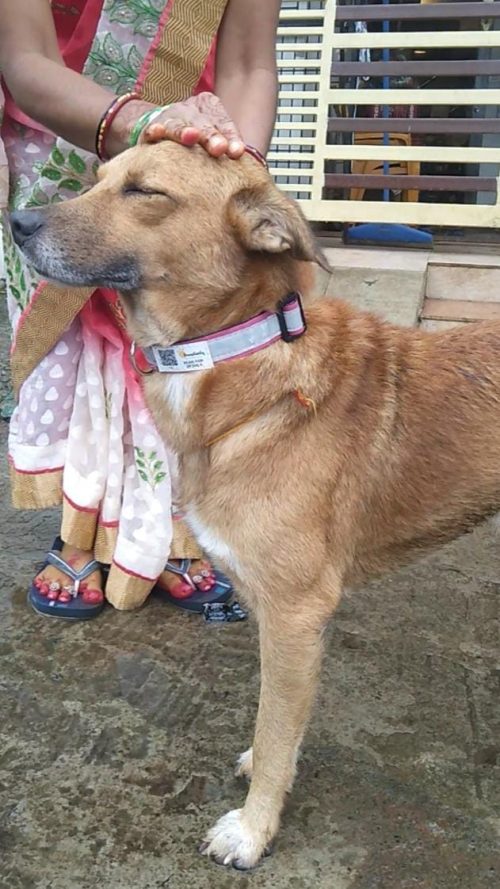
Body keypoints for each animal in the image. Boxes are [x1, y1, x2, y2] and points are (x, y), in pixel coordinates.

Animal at [8, 142, 500, 872]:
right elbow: (281, 726)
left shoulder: (296, 612)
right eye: (97, 179)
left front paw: (252, 829)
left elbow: (273, 727)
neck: (232, 352)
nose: (16, 222)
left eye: (145, 191)